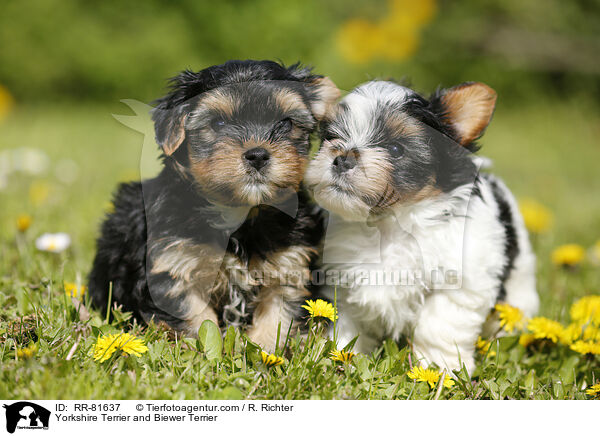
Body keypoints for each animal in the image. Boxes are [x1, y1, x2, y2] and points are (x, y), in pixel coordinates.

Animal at [88, 59, 338, 350]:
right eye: (218, 122)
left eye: (286, 123)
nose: (257, 155)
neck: (241, 215)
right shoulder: (175, 265)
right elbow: (195, 315)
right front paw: (202, 350)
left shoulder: (289, 264)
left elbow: (278, 315)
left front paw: (265, 351)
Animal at [304, 80, 540, 372]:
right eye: (330, 137)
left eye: (396, 149)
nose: (342, 158)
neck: (390, 223)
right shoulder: (342, 282)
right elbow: (346, 323)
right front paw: (338, 356)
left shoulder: (456, 284)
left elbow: (439, 325)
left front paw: (439, 367)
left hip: (520, 281)